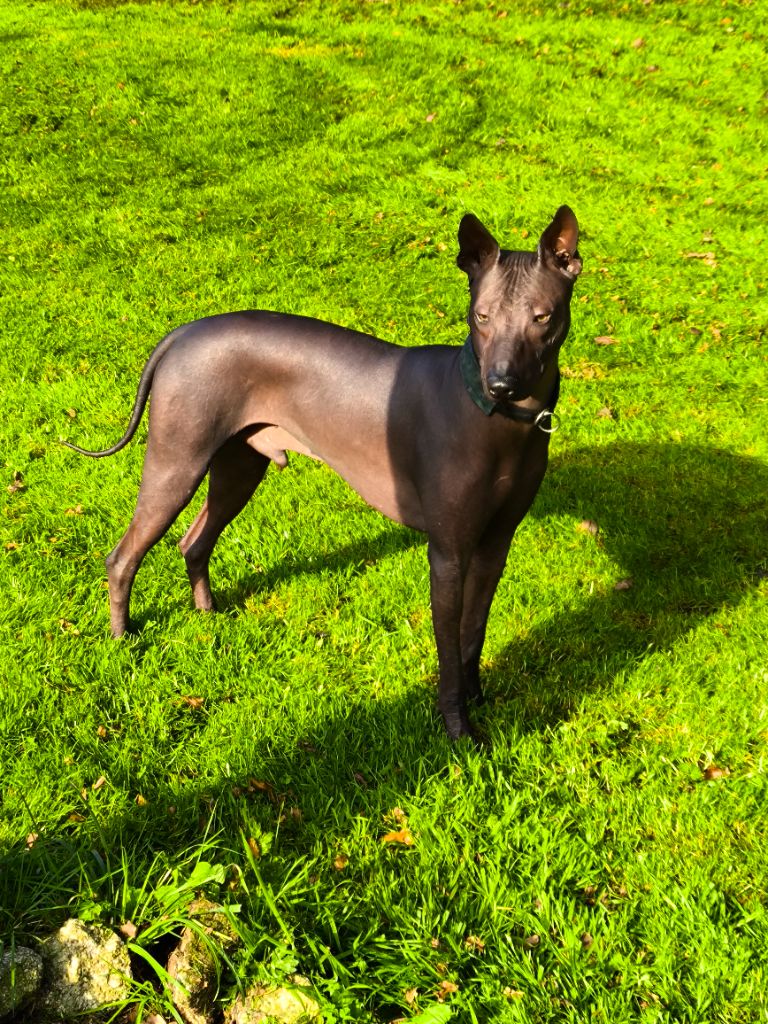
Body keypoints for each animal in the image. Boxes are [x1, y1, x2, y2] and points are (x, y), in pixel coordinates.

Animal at [67, 205, 581, 737]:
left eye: (542, 317)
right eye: (481, 316)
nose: (501, 383)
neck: (496, 419)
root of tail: (184, 332)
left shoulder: (494, 546)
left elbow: (473, 633)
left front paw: (479, 698)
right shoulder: (448, 555)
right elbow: (448, 651)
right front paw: (458, 727)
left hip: (239, 469)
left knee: (193, 541)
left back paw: (207, 613)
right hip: (176, 464)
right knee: (123, 556)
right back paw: (122, 638)